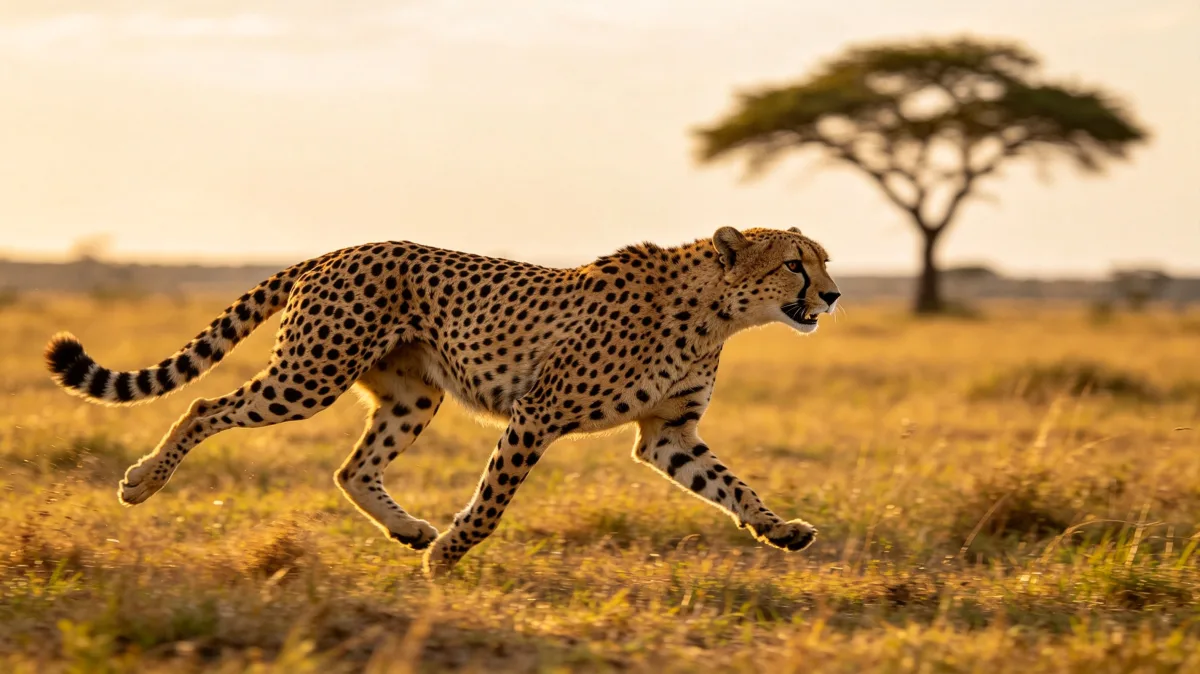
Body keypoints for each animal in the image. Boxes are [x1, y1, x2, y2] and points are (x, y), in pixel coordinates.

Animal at [43, 225, 840, 576]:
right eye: (795, 263)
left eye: (825, 261)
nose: (833, 295)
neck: (716, 313)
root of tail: (337, 249)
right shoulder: (538, 414)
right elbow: (491, 504)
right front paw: (449, 557)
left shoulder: (666, 434)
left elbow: (733, 485)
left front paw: (779, 530)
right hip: (309, 377)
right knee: (206, 406)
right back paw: (142, 482)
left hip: (411, 396)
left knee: (351, 468)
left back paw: (405, 529)